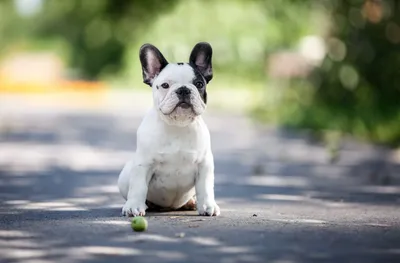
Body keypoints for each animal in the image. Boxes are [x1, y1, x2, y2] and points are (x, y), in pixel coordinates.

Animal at [117, 42, 220, 218]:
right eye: (165, 85)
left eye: (199, 84)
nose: (184, 89)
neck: (178, 125)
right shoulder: (143, 164)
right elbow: (138, 187)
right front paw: (133, 207)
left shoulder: (204, 164)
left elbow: (205, 187)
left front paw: (208, 205)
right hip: (124, 177)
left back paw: (191, 202)